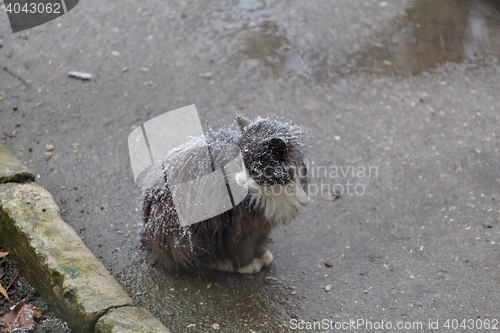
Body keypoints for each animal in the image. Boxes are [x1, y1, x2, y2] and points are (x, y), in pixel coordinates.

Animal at [140, 114, 308, 272]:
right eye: (237, 162)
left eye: (255, 170)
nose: (240, 181)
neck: (269, 192)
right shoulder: (237, 225)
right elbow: (241, 246)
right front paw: (247, 265)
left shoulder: (263, 224)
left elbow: (260, 239)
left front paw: (261, 254)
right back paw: (222, 263)